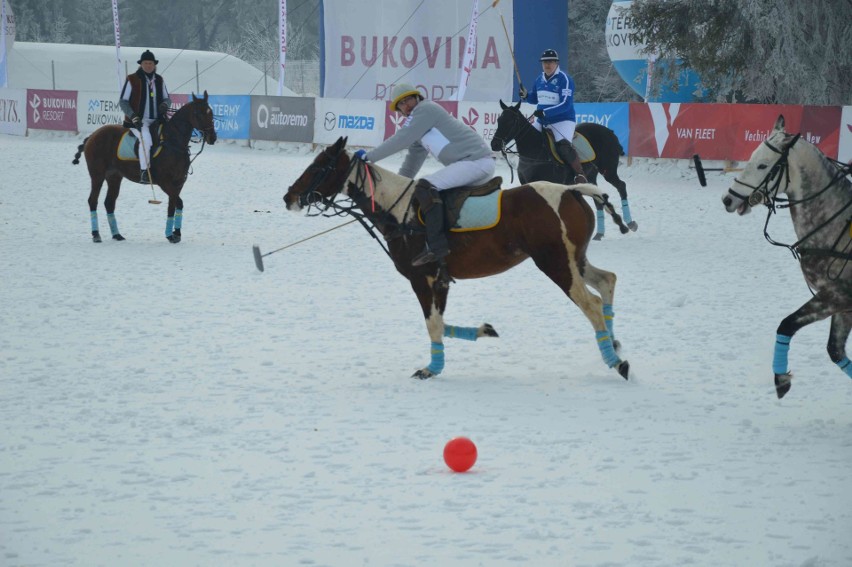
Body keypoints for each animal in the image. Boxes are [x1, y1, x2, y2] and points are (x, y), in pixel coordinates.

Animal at [72, 92, 218, 243]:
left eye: (211, 112)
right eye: (198, 114)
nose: (212, 137)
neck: (174, 142)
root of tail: (91, 136)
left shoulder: (178, 183)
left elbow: (173, 205)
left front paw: (175, 233)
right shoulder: (164, 182)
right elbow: (178, 202)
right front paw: (172, 234)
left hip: (114, 176)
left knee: (109, 202)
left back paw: (117, 234)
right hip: (97, 175)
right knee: (92, 200)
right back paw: (96, 234)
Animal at [282, 135, 628, 380]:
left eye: (318, 167)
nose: (289, 197)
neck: (398, 211)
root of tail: (572, 190)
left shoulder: (423, 278)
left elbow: (433, 324)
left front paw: (430, 369)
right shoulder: (442, 281)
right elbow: (441, 322)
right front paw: (484, 331)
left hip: (555, 263)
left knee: (591, 303)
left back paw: (616, 362)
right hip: (575, 259)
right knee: (607, 280)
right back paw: (613, 343)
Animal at [490, 101, 636, 241]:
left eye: (511, 121)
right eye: (499, 120)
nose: (494, 144)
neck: (535, 150)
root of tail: (610, 132)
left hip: (608, 170)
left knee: (621, 186)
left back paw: (629, 223)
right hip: (590, 175)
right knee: (598, 197)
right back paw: (600, 233)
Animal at [724, 115, 852, 400]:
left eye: (763, 164)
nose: (728, 199)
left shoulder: (835, 295)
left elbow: (786, 324)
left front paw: (781, 380)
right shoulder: (843, 304)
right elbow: (835, 350)